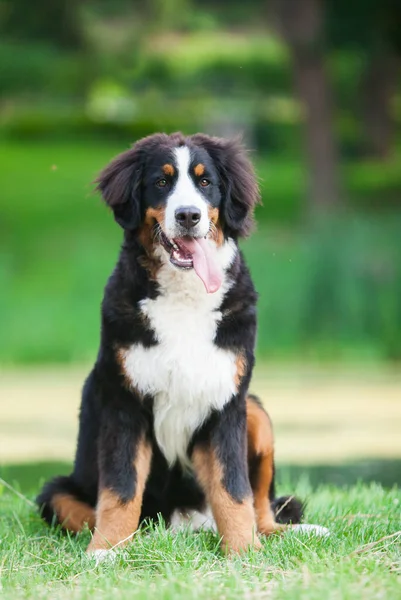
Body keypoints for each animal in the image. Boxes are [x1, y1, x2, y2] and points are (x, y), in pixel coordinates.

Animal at [37, 131, 322, 556]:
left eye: (205, 182)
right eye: (161, 181)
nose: (188, 215)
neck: (184, 294)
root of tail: (186, 523)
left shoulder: (227, 402)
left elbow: (233, 489)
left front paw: (244, 552)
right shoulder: (124, 403)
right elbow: (120, 488)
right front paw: (106, 550)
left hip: (256, 411)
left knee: (263, 508)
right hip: (56, 491)